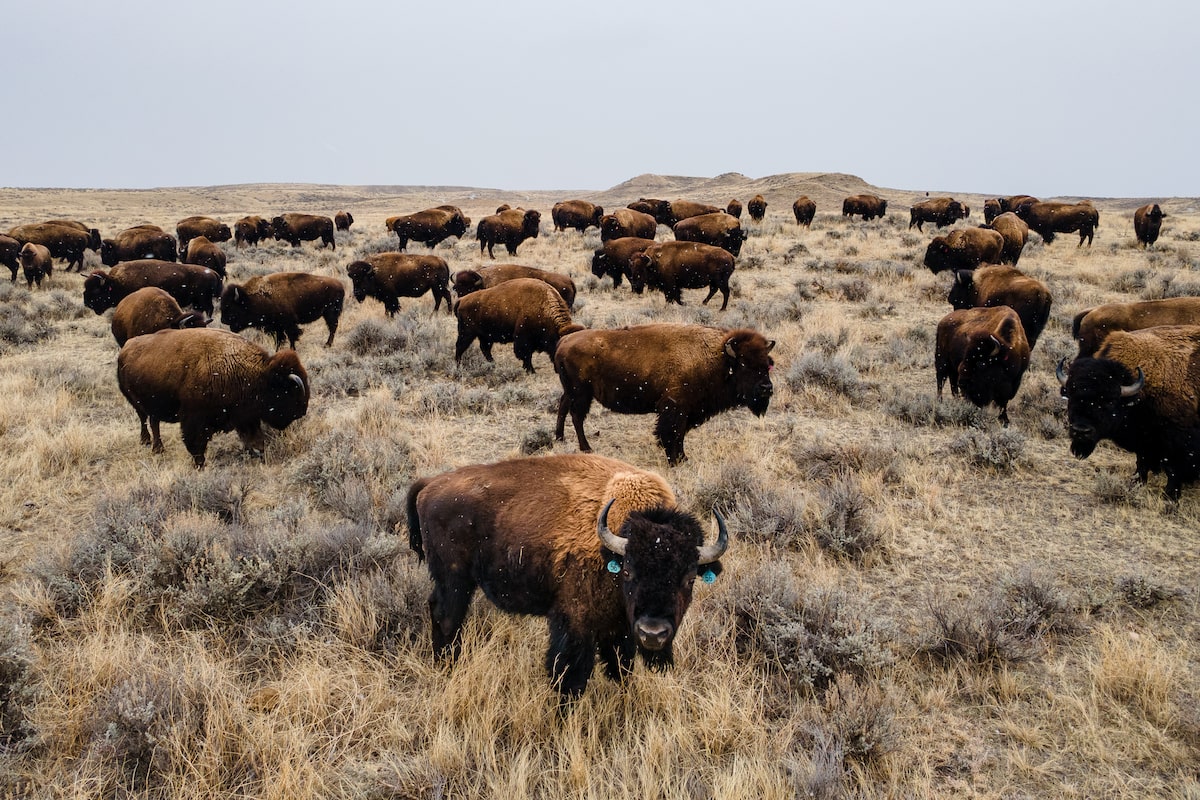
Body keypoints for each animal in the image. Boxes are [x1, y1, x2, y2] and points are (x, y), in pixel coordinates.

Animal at [117, 328, 309, 468]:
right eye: (289, 391)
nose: (303, 411)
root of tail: (125, 349)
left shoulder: (245, 416)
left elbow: (254, 438)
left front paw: (259, 454)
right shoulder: (195, 419)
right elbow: (196, 444)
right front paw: (199, 465)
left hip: (153, 406)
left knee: (154, 422)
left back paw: (158, 449)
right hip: (136, 403)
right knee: (145, 420)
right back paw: (148, 443)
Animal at [406, 452, 728, 700]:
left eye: (689, 579)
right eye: (629, 571)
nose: (653, 633)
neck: (614, 548)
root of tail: (430, 484)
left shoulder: (619, 627)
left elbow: (620, 667)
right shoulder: (575, 623)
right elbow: (570, 675)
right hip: (454, 580)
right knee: (447, 617)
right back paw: (447, 666)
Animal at [554, 324, 775, 465]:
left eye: (767, 364)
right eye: (744, 364)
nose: (767, 388)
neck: (717, 358)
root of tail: (564, 340)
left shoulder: (688, 411)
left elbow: (681, 434)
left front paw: (683, 458)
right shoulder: (675, 408)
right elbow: (671, 433)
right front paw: (674, 460)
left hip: (572, 391)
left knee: (563, 407)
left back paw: (559, 438)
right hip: (581, 393)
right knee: (577, 416)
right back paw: (586, 448)